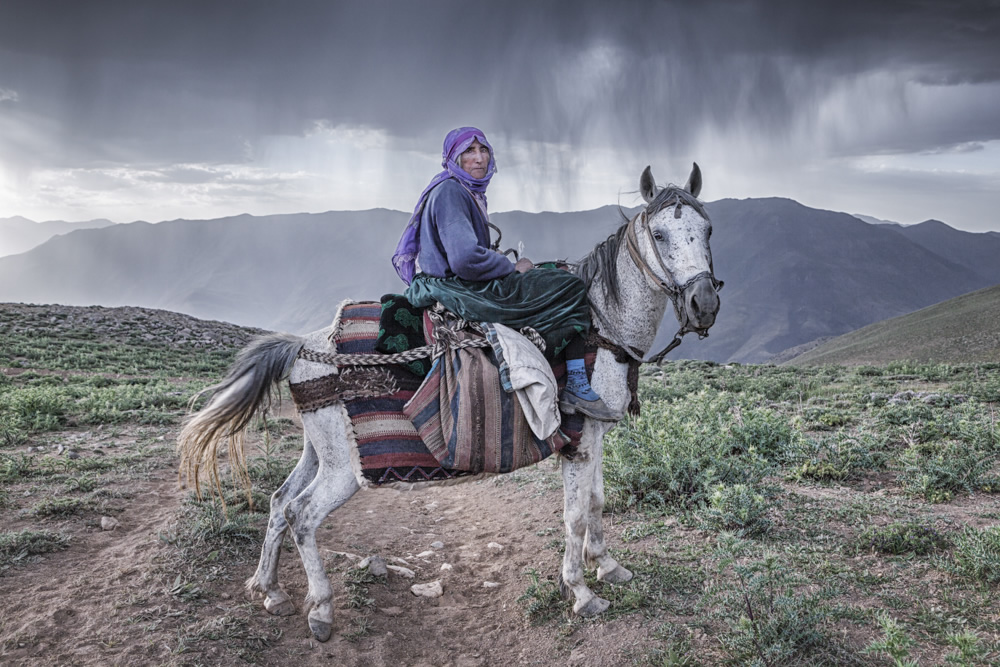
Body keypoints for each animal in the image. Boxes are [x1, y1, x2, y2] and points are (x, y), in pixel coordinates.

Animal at [178, 164, 720, 644]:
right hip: (343, 470)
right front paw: (582, 593)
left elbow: (598, 501)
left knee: (277, 501)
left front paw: (608, 566)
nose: (704, 304)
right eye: (660, 234)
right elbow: (575, 515)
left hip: (321, 450)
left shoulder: (596, 433)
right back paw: (322, 610)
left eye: (707, 228)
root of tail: (304, 346)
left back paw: (269, 590)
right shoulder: (578, 440)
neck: (602, 325)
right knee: (302, 515)